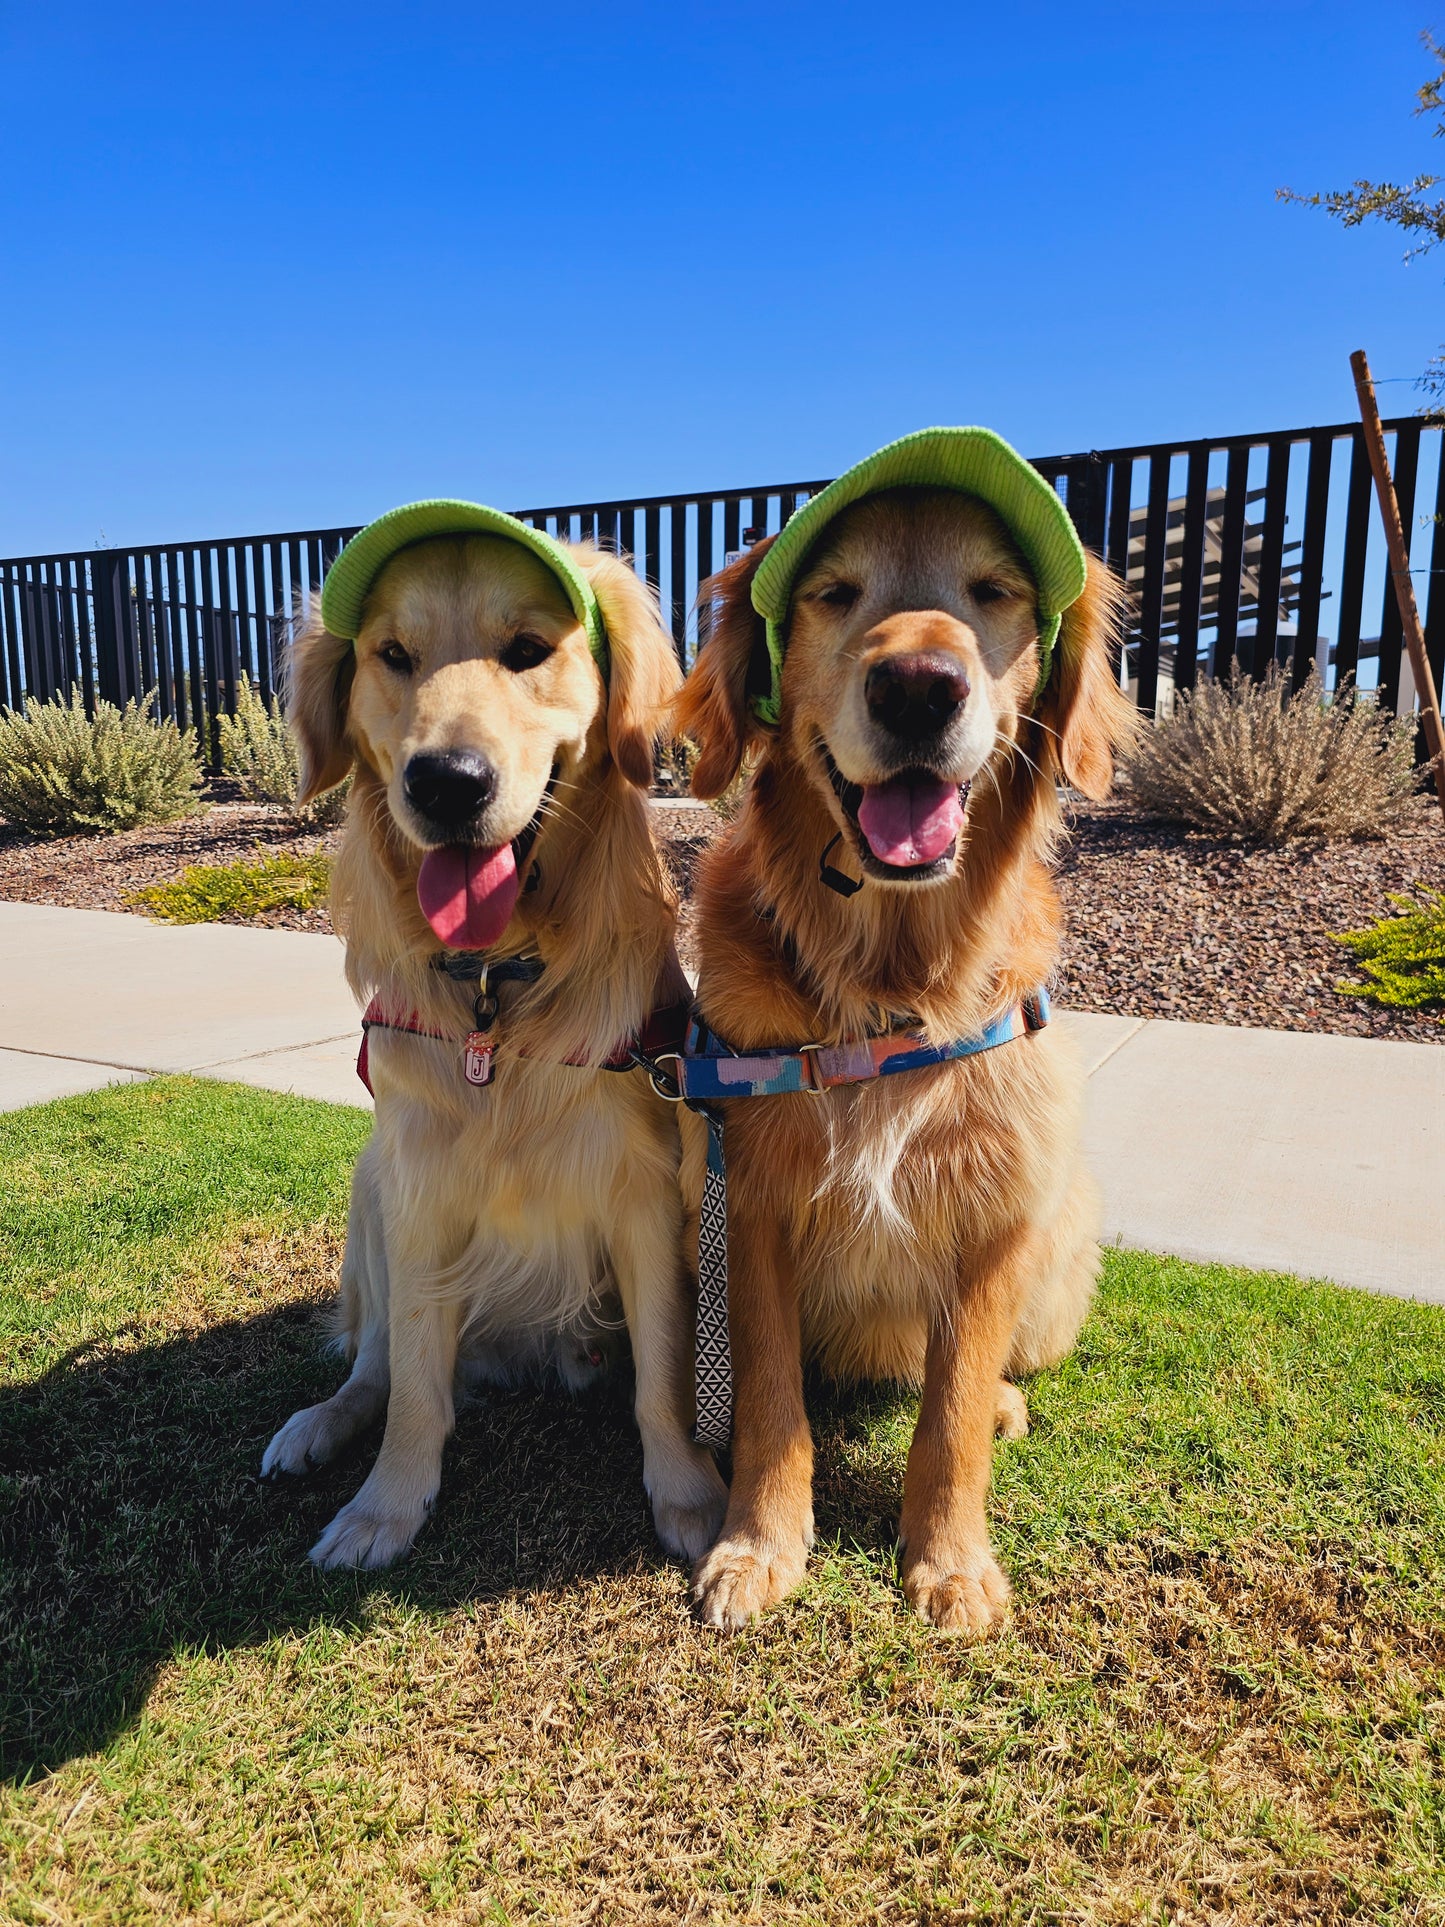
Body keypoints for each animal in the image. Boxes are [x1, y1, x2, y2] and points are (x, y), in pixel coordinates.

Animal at [265, 527, 728, 1564]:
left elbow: (661, 1378)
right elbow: (412, 1391)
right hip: (368, 1191)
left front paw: (687, 1494)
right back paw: (316, 1423)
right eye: (392, 655)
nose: (446, 781)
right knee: (373, 1363)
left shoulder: (642, 1190)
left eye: (526, 649)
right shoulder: (420, 1187)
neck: (495, 985)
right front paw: (386, 1506)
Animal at [674, 489, 1140, 1634]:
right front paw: (759, 1546)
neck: (886, 987)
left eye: (995, 590)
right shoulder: (748, 1203)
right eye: (833, 593)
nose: (919, 686)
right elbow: (769, 1399)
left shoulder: (992, 1215)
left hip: (1061, 1239)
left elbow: (952, 1412)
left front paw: (949, 1563)